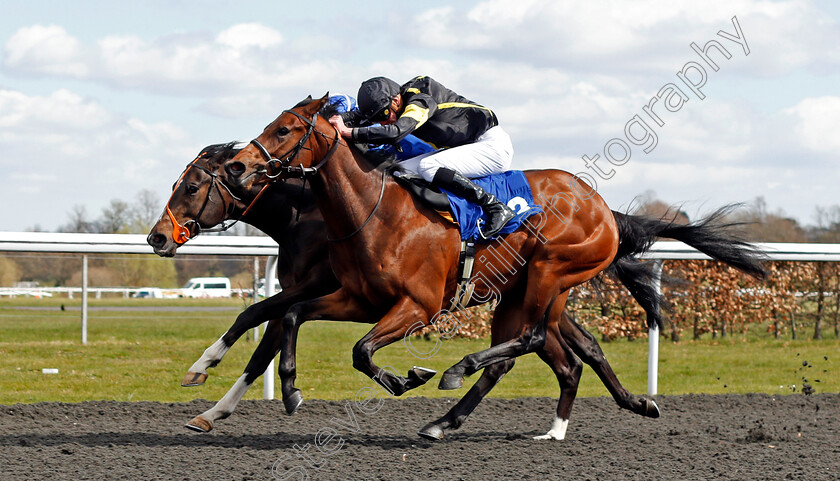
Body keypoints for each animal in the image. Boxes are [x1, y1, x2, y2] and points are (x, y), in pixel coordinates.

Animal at [148, 140, 668, 436]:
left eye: (191, 186)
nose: (156, 237)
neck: (308, 212)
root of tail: (601, 207)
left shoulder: (328, 287)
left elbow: (265, 336)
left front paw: (209, 385)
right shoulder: (322, 292)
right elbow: (260, 322)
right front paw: (208, 395)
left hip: (543, 280)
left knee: (536, 346)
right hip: (528, 293)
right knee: (572, 352)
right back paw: (617, 408)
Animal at [218, 94, 768, 438]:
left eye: (286, 128)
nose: (238, 166)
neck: (374, 211)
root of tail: (604, 208)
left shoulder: (417, 306)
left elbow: (360, 350)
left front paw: (406, 378)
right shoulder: (355, 298)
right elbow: (294, 316)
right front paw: (291, 391)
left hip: (551, 271)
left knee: (526, 341)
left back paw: (457, 373)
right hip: (526, 291)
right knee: (557, 352)